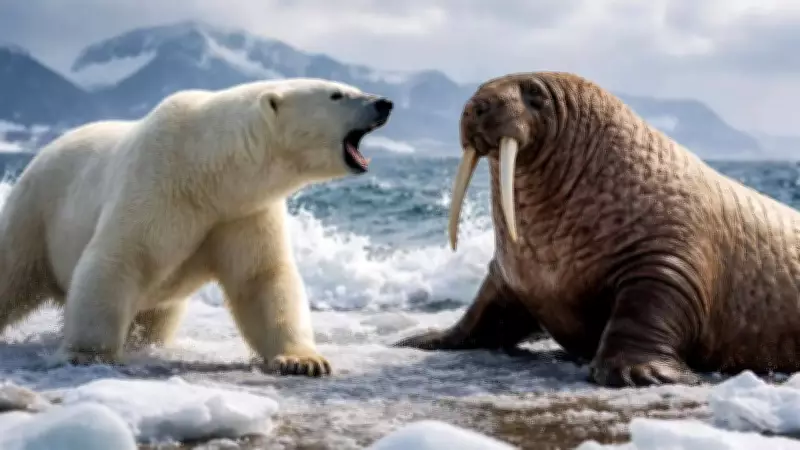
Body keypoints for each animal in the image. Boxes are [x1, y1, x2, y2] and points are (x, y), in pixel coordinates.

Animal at [0, 77, 393, 377]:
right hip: (36, 213)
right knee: (13, 271)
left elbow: (262, 278)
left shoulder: (243, 212)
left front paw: (303, 361)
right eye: (337, 94)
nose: (384, 103)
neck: (208, 169)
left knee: (158, 317)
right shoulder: (156, 185)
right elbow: (117, 259)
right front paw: (87, 354)